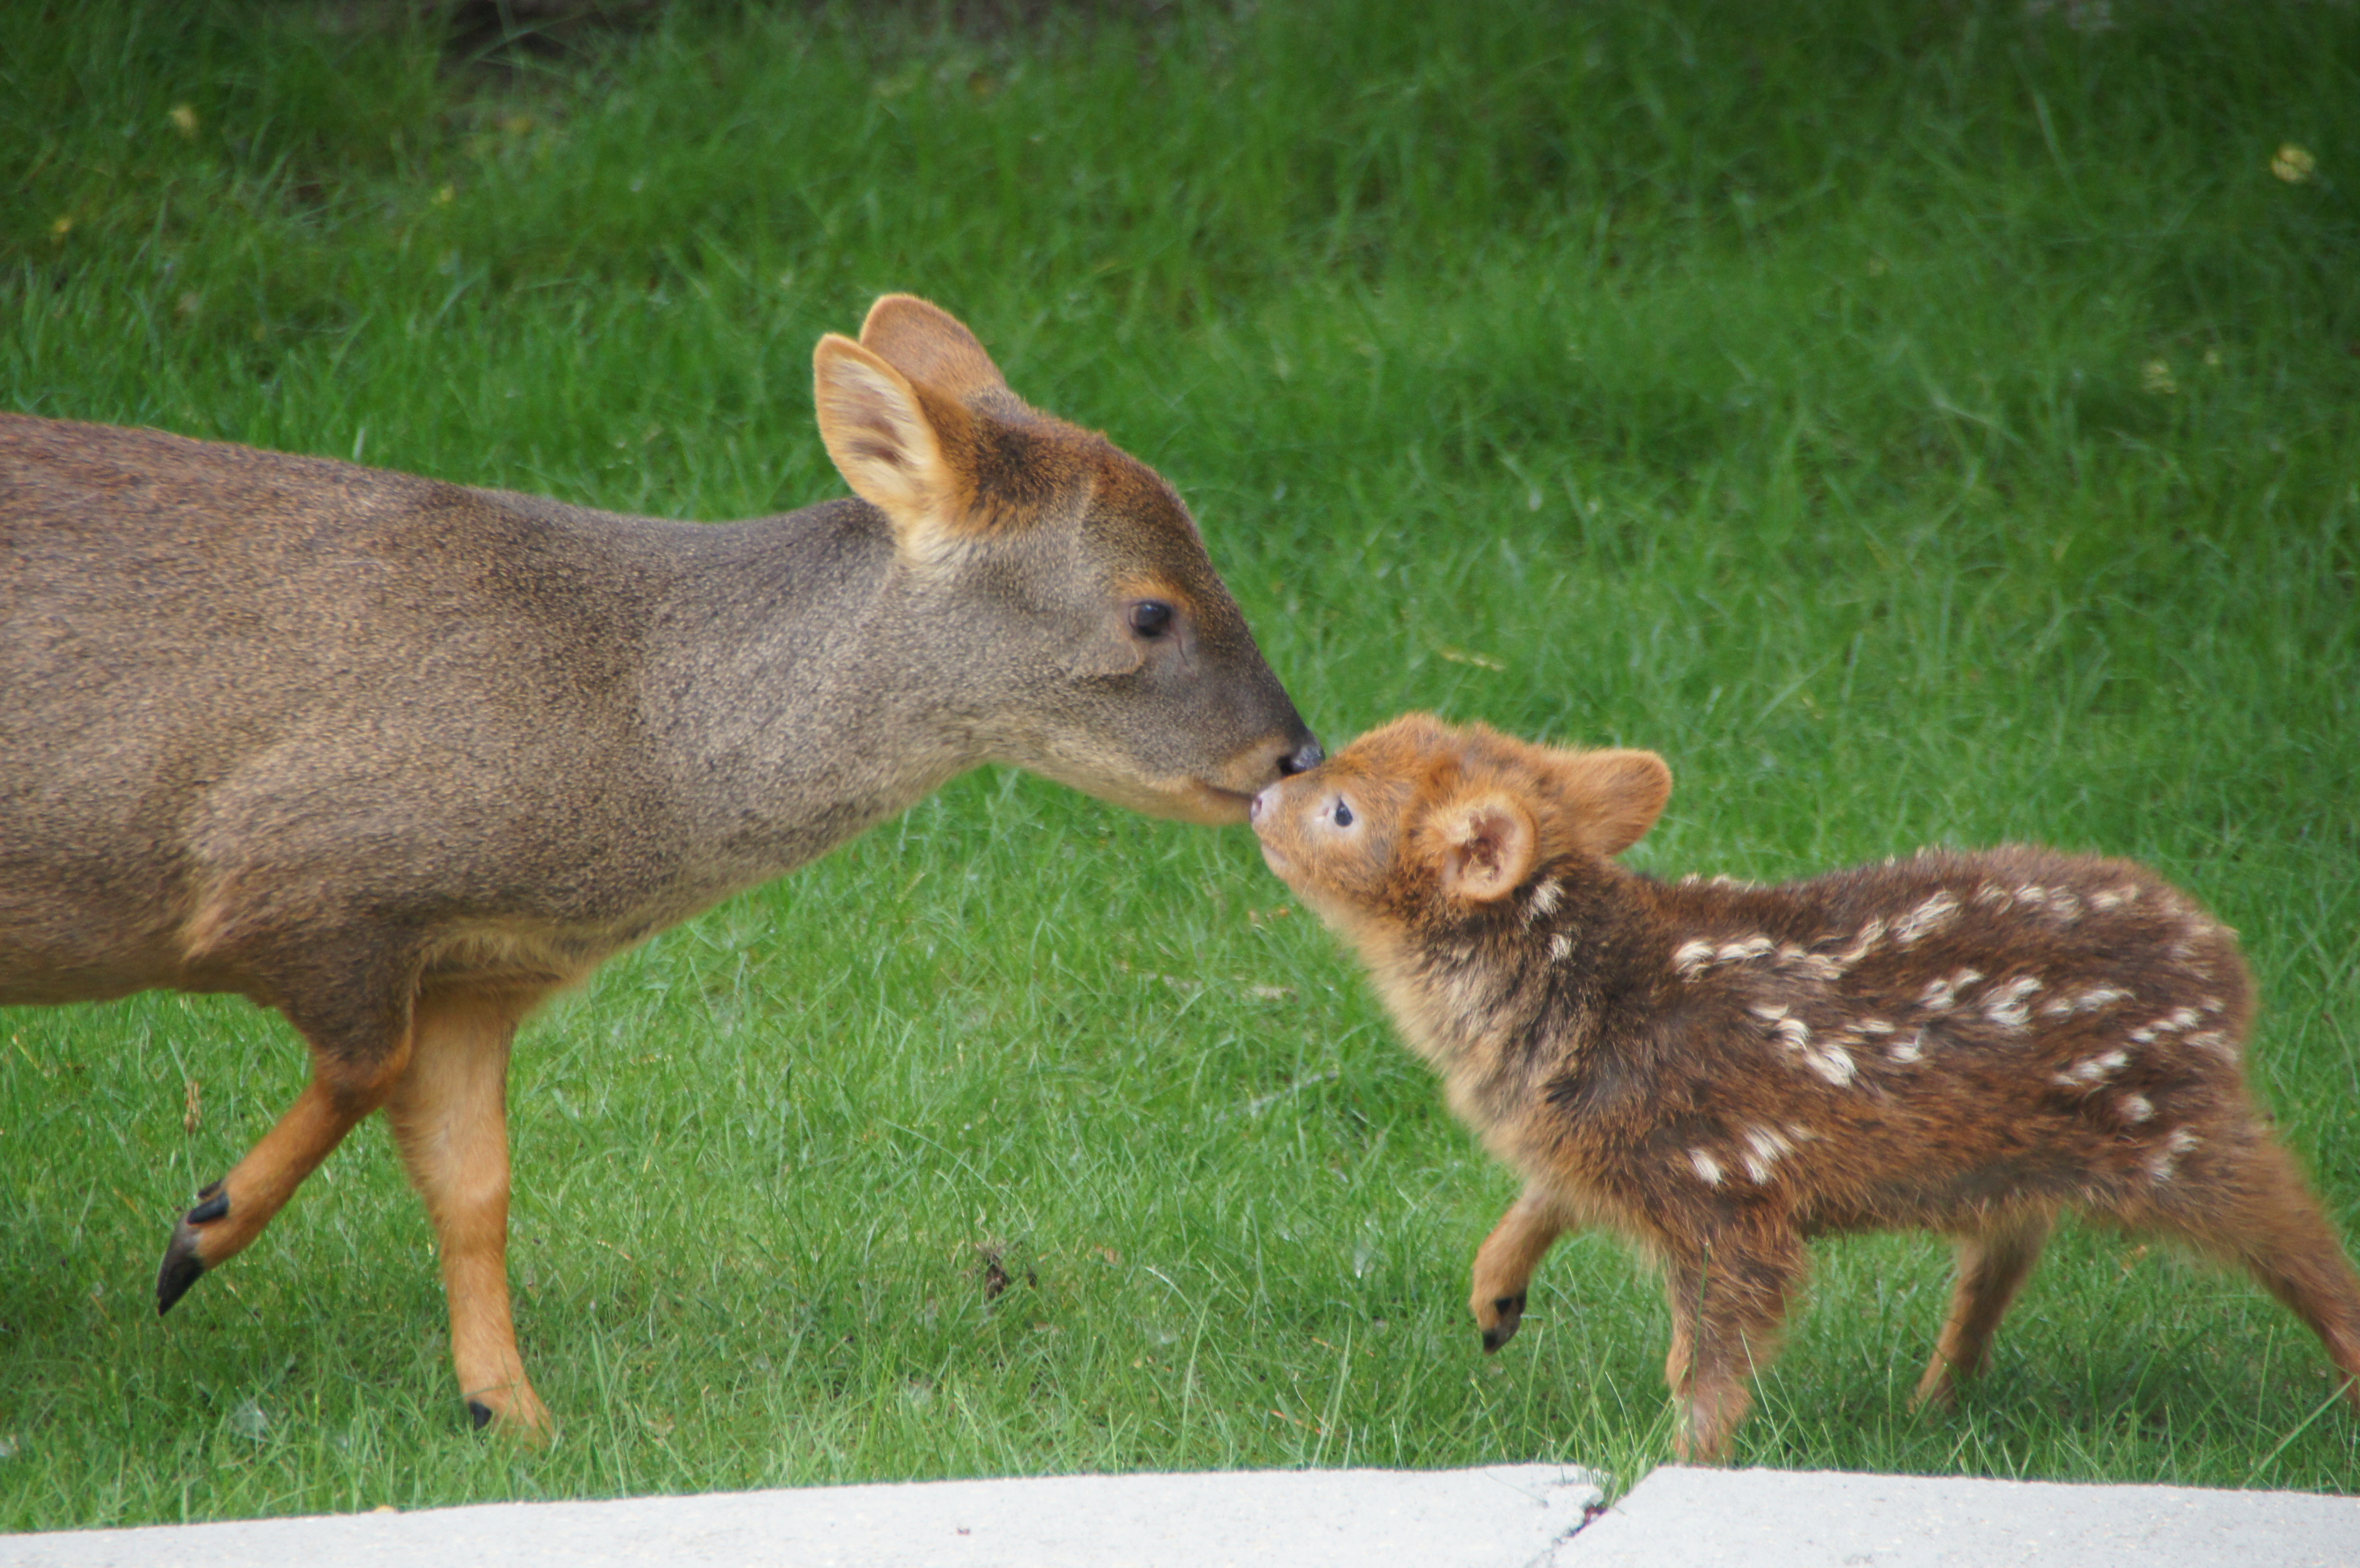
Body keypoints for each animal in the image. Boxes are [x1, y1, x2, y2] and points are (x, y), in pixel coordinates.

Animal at [0, 294, 1322, 1437]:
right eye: (1149, 611)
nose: (1295, 752)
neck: (628, 733)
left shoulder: (481, 975)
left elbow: (476, 1189)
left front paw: (512, 1415)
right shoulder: (302, 877)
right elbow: (363, 1070)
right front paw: (197, 1236)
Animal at [1248, 713, 2360, 1460]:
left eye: (1342, 811)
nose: (1260, 795)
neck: (1586, 999)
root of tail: (2224, 967)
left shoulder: (1727, 1189)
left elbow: (1709, 1358)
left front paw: (1675, 1465)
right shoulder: (1600, 1152)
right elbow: (1540, 1203)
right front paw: (1492, 1298)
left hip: (2173, 1130)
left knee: (2298, 1233)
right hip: (2022, 1152)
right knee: (2008, 1243)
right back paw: (1932, 1399)